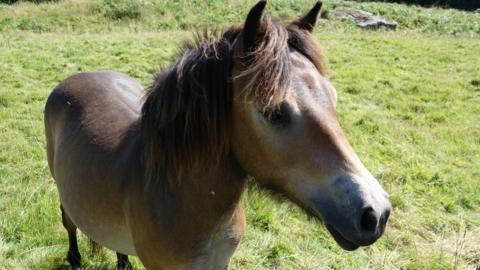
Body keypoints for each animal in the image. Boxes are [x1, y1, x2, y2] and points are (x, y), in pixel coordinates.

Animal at [44, 1, 390, 268]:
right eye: (274, 113)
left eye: (333, 98)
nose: (376, 213)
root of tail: (76, 79)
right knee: (68, 222)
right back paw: (74, 259)